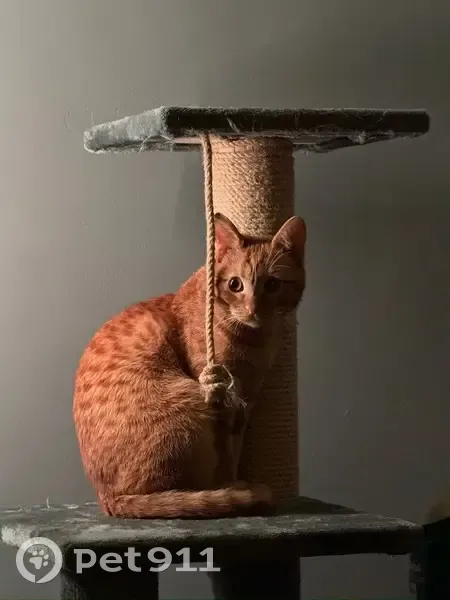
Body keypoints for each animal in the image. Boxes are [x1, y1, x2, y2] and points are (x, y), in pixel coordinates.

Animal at [73, 213, 306, 518]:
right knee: (175, 492)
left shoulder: (246, 402)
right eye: (235, 285)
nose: (252, 309)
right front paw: (231, 485)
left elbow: (235, 449)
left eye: (273, 285)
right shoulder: (220, 397)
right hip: (190, 403)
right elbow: (226, 452)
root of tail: (108, 499)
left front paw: (233, 480)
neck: (253, 341)